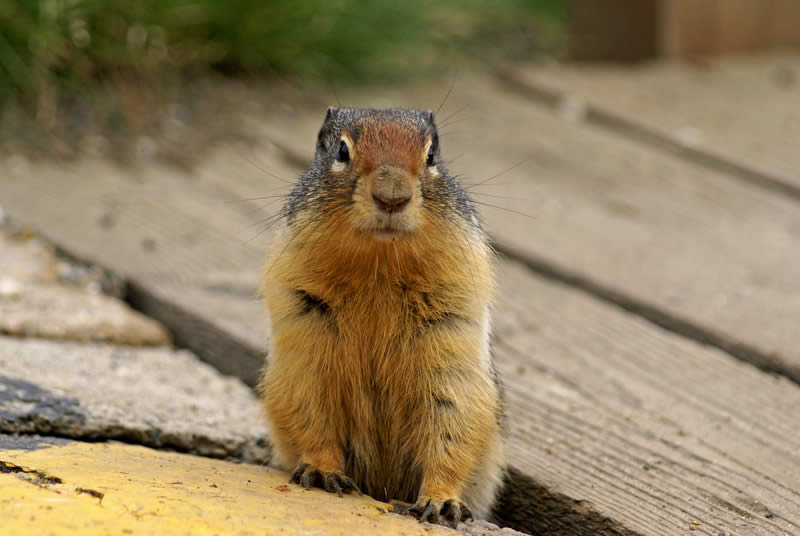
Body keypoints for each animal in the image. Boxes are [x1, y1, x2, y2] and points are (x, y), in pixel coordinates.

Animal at [260, 107, 504, 524]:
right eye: (341, 151)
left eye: (431, 155)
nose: (392, 196)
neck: (380, 265)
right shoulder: (304, 344)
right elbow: (311, 410)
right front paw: (322, 471)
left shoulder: (452, 341)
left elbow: (453, 421)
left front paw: (441, 501)